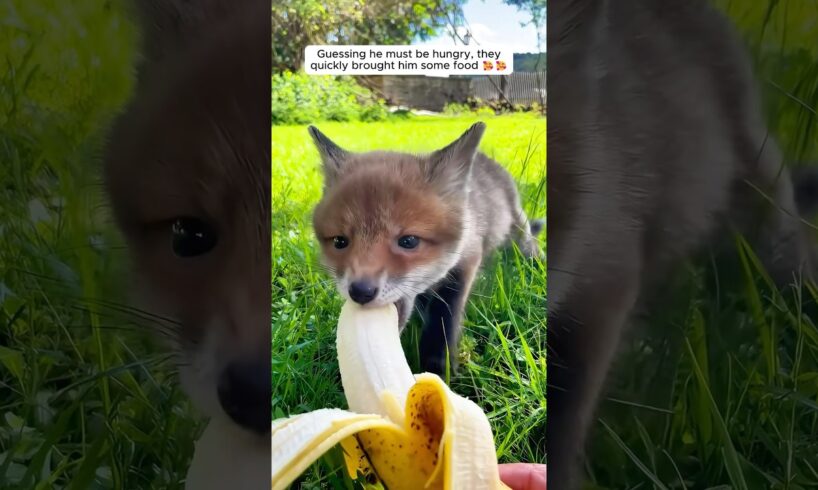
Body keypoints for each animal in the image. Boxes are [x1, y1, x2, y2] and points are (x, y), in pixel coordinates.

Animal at [309, 122, 544, 373]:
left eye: (409, 241)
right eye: (339, 242)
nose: (361, 291)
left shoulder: (467, 260)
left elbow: (444, 318)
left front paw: (439, 368)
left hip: (517, 226)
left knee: (528, 243)